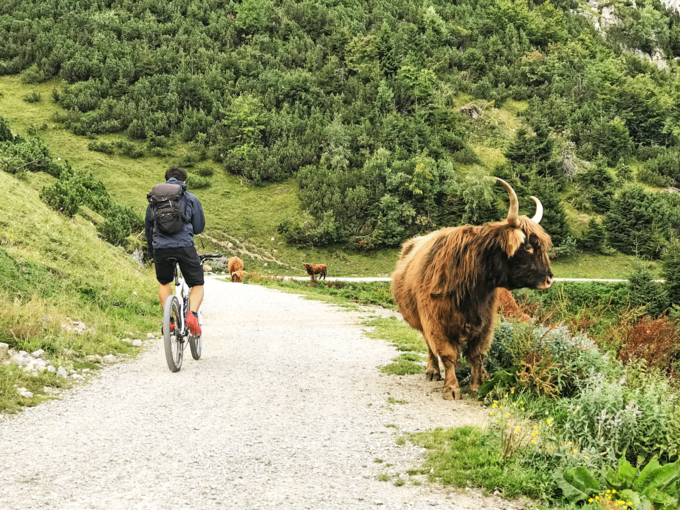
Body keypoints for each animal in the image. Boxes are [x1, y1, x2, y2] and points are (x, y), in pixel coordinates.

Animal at [390, 180, 556, 402]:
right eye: (528, 246)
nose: (549, 279)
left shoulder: (485, 321)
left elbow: (476, 354)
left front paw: (477, 386)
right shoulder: (435, 322)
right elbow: (447, 354)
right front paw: (452, 388)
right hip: (420, 320)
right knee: (429, 347)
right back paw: (433, 372)